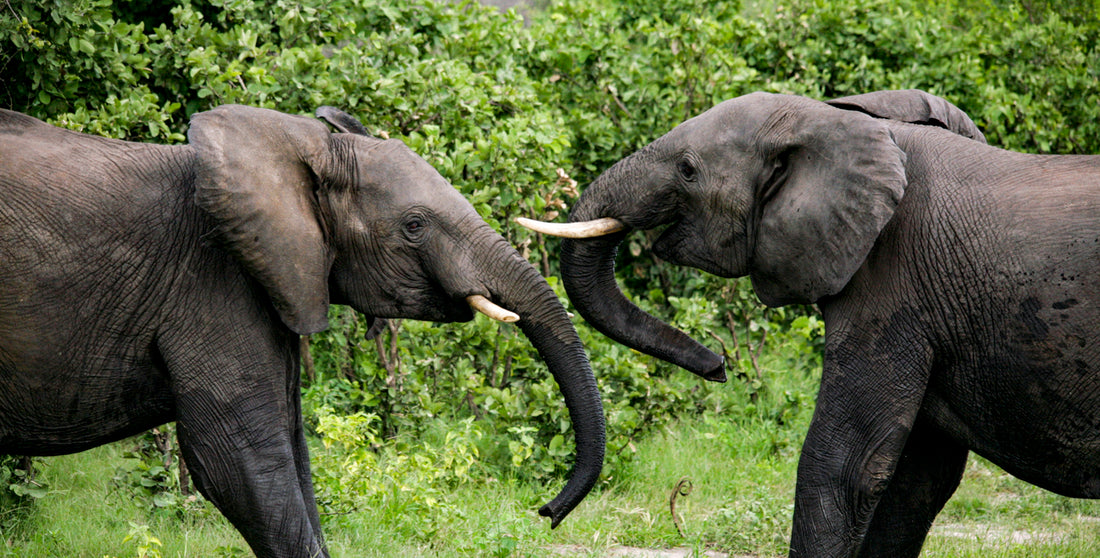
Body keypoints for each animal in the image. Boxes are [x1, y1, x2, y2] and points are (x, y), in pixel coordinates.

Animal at [0, 105, 604, 557]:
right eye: (414, 227)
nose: (545, 512)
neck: (299, 151)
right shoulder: (212, 280)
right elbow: (241, 459)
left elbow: (293, 449)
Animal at [519, 89, 1100, 557]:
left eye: (686, 169)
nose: (718, 365)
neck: (836, 123)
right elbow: (917, 479)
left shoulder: (895, 283)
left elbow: (845, 467)